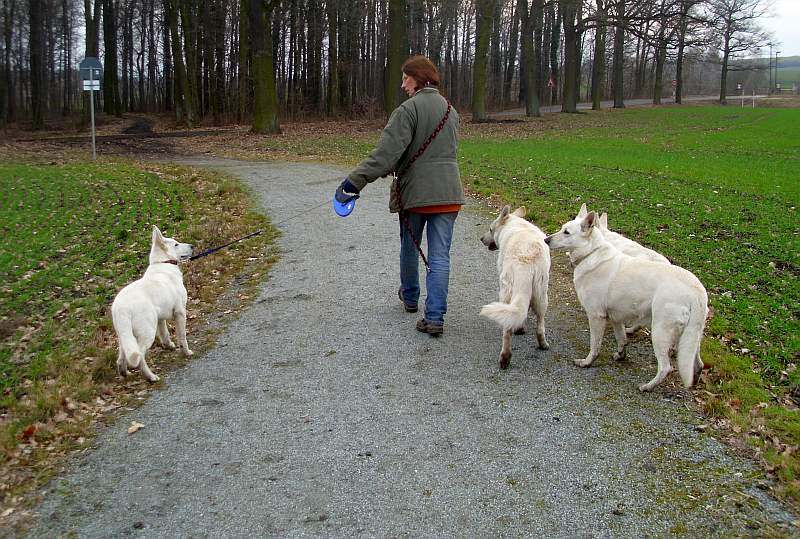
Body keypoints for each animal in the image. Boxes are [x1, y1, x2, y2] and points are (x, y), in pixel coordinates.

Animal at [111, 226, 194, 382]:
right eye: (176, 244)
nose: (192, 246)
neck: (163, 263)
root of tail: (121, 308)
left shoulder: (160, 318)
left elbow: (165, 334)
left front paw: (169, 346)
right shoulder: (180, 312)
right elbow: (182, 337)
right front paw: (186, 352)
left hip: (124, 335)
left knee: (121, 358)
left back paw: (125, 374)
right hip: (147, 331)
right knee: (140, 356)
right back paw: (150, 376)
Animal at [482, 207, 552, 372]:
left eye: (490, 229)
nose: (481, 239)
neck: (516, 224)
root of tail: (524, 261)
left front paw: (520, 328)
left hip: (507, 292)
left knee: (507, 331)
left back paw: (505, 358)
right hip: (541, 294)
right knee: (540, 327)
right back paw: (542, 345)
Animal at [544, 211, 708, 392]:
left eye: (566, 232)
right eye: (562, 228)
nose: (546, 240)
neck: (591, 253)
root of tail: (697, 290)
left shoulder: (596, 316)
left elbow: (595, 345)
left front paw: (587, 362)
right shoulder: (615, 317)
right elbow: (622, 339)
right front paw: (621, 355)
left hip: (660, 333)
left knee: (665, 367)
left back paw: (648, 386)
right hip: (691, 337)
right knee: (698, 364)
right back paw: (694, 382)